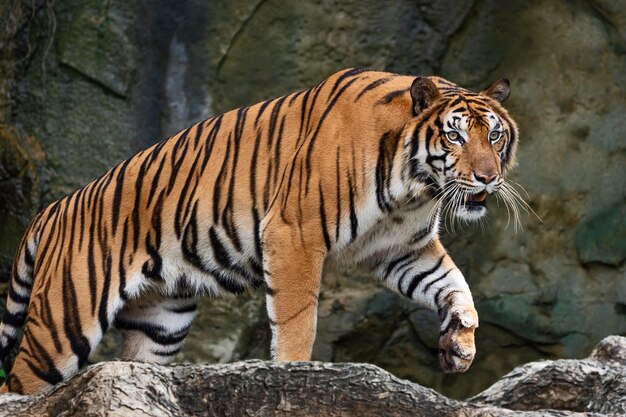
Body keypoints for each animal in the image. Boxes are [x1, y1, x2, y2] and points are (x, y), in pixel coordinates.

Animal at [0, 67, 516, 394]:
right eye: (454, 136)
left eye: (494, 135)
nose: (488, 177)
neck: (415, 188)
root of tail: (53, 208)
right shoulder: (295, 233)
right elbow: (298, 318)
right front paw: (294, 372)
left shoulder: (403, 249)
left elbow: (453, 284)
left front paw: (460, 343)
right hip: (63, 323)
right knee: (19, 386)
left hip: (161, 324)